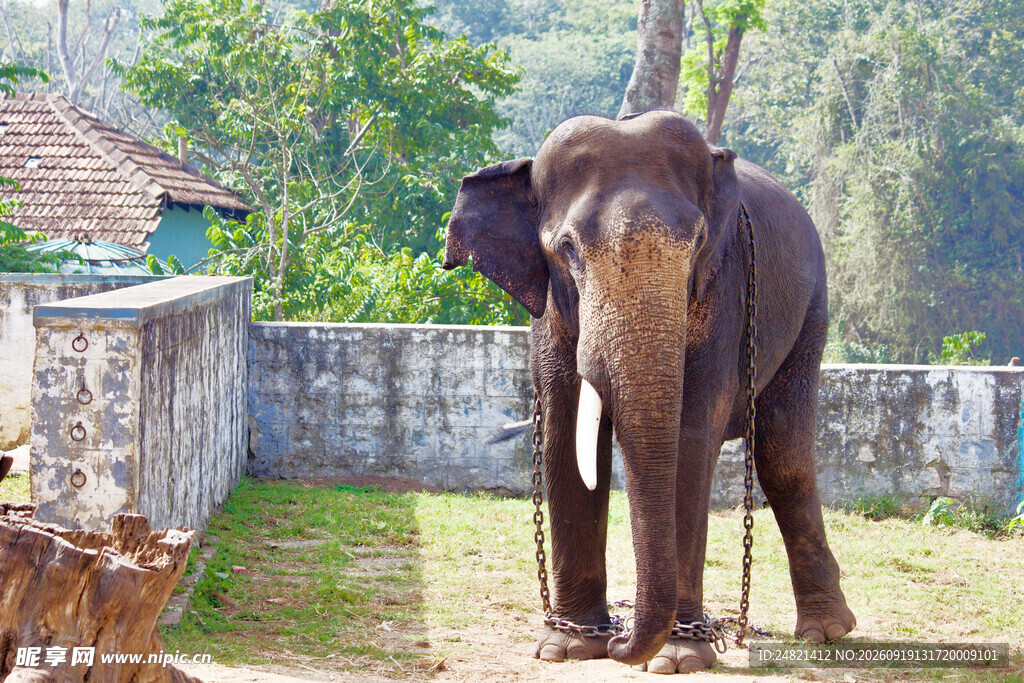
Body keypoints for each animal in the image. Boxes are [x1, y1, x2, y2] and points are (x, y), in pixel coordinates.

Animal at [442, 110, 856, 674]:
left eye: (697, 242)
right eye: (568, 249)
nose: (621, 637)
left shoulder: (724, 291)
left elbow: (689, 437)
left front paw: (676, 658)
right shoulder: (549, 312)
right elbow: (564, 433)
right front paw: (568, 648)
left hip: (813, 312)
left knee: (784, 456)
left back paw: (824, 632)